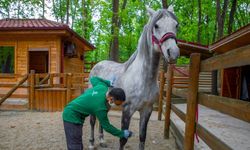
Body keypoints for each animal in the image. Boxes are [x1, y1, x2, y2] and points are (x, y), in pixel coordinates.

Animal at [88, 6, 180, 150]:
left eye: (176, 25)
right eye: (156, 25)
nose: (173, 53)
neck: (143, 78)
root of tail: (97, 65)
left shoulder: (147, 110)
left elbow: (142, 137)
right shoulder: (127, 110)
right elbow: (123, 139)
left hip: (106, 102)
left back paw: (102, 141)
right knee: (92, 121)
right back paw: (92, 143)